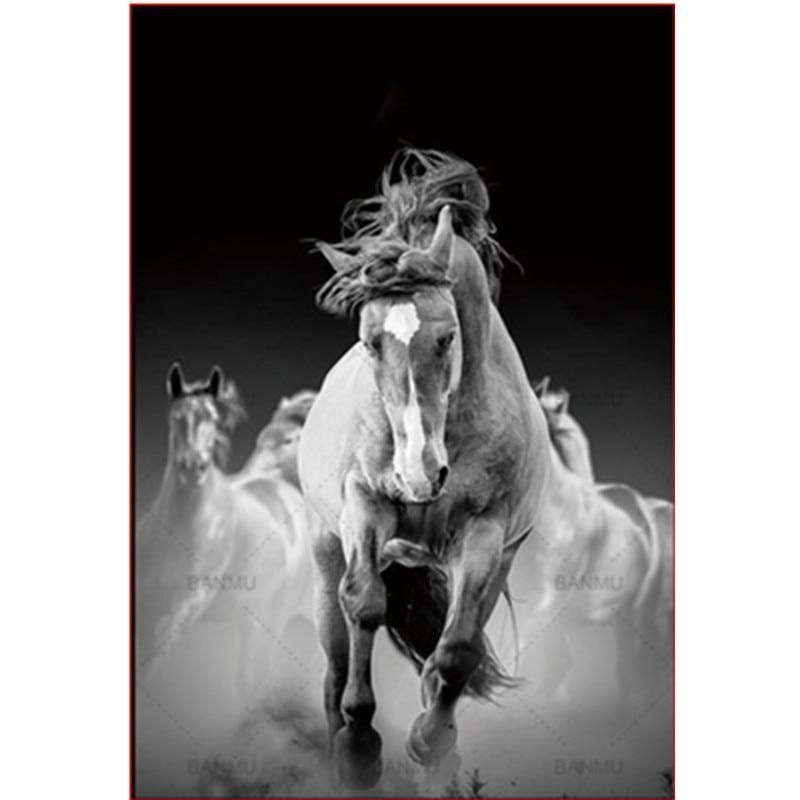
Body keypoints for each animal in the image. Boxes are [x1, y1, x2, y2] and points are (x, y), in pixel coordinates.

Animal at [298, 148, 552, 788]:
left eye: (447, 336)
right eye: (369, 341)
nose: (419, 473)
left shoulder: (486, 534)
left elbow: (457, 651)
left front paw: (431, 741)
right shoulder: (364, 507)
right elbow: (365, 603)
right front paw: (361, 745)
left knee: (451, 649)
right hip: (324, 550)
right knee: (335, 661)